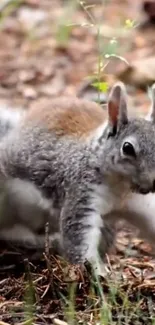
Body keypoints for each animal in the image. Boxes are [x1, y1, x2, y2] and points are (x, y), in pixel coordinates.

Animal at [0, 81, 155, 274]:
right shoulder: (82, 193)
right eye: (127, 148)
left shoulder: (140, 202)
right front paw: (98, 274)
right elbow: (79, 237)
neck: (121, 188)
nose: (152, 184)